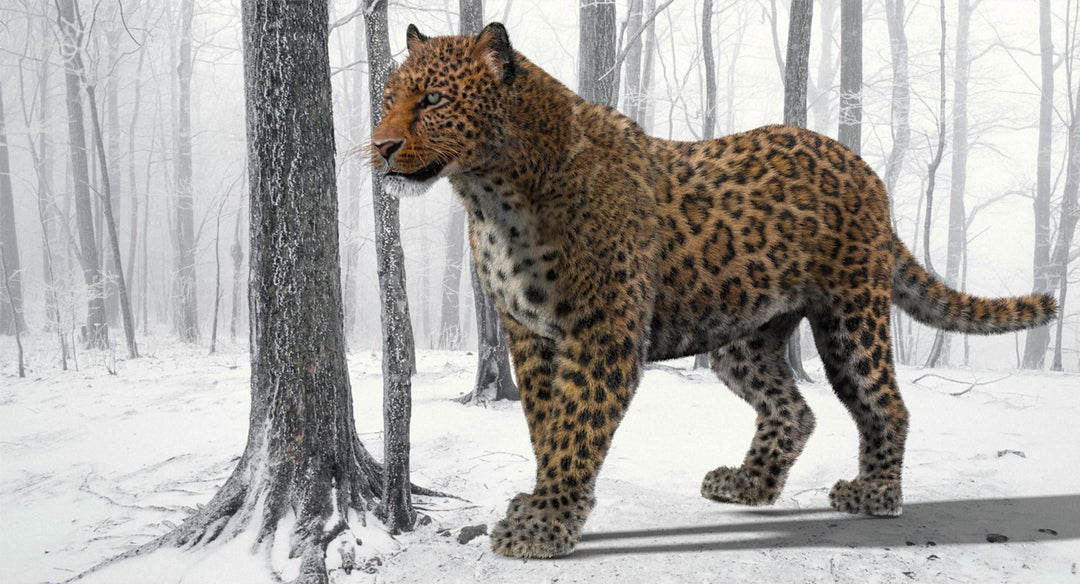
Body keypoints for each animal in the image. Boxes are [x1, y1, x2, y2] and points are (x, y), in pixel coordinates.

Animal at [369, 23, 1058, 559]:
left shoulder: (601, 333)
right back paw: (748, 485)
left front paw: (544, 524)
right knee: (795, 409)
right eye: (387, 98)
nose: (381, 146)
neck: (491, 195)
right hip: (743, 337)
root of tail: (867, 171)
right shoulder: (529, 335)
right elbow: (545, 424)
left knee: (883, 400)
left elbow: (576, 425)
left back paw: (876, 495)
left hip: (849, 316)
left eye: (433, 99)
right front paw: (543, 502)